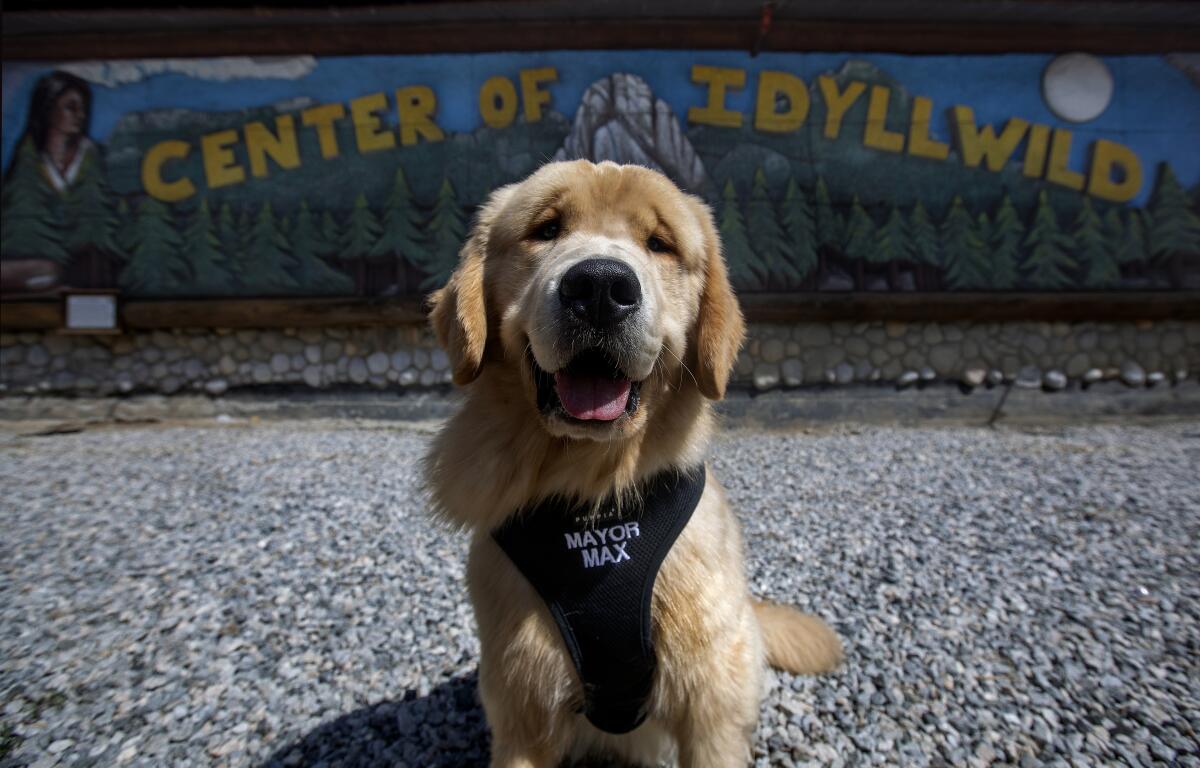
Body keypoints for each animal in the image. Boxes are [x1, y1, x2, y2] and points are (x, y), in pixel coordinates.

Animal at [427, 158, 840, 763]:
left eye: (659, 244)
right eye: (546, 229)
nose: (600, 286)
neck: (594, 491)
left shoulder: (710, 703)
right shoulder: (521, 703)